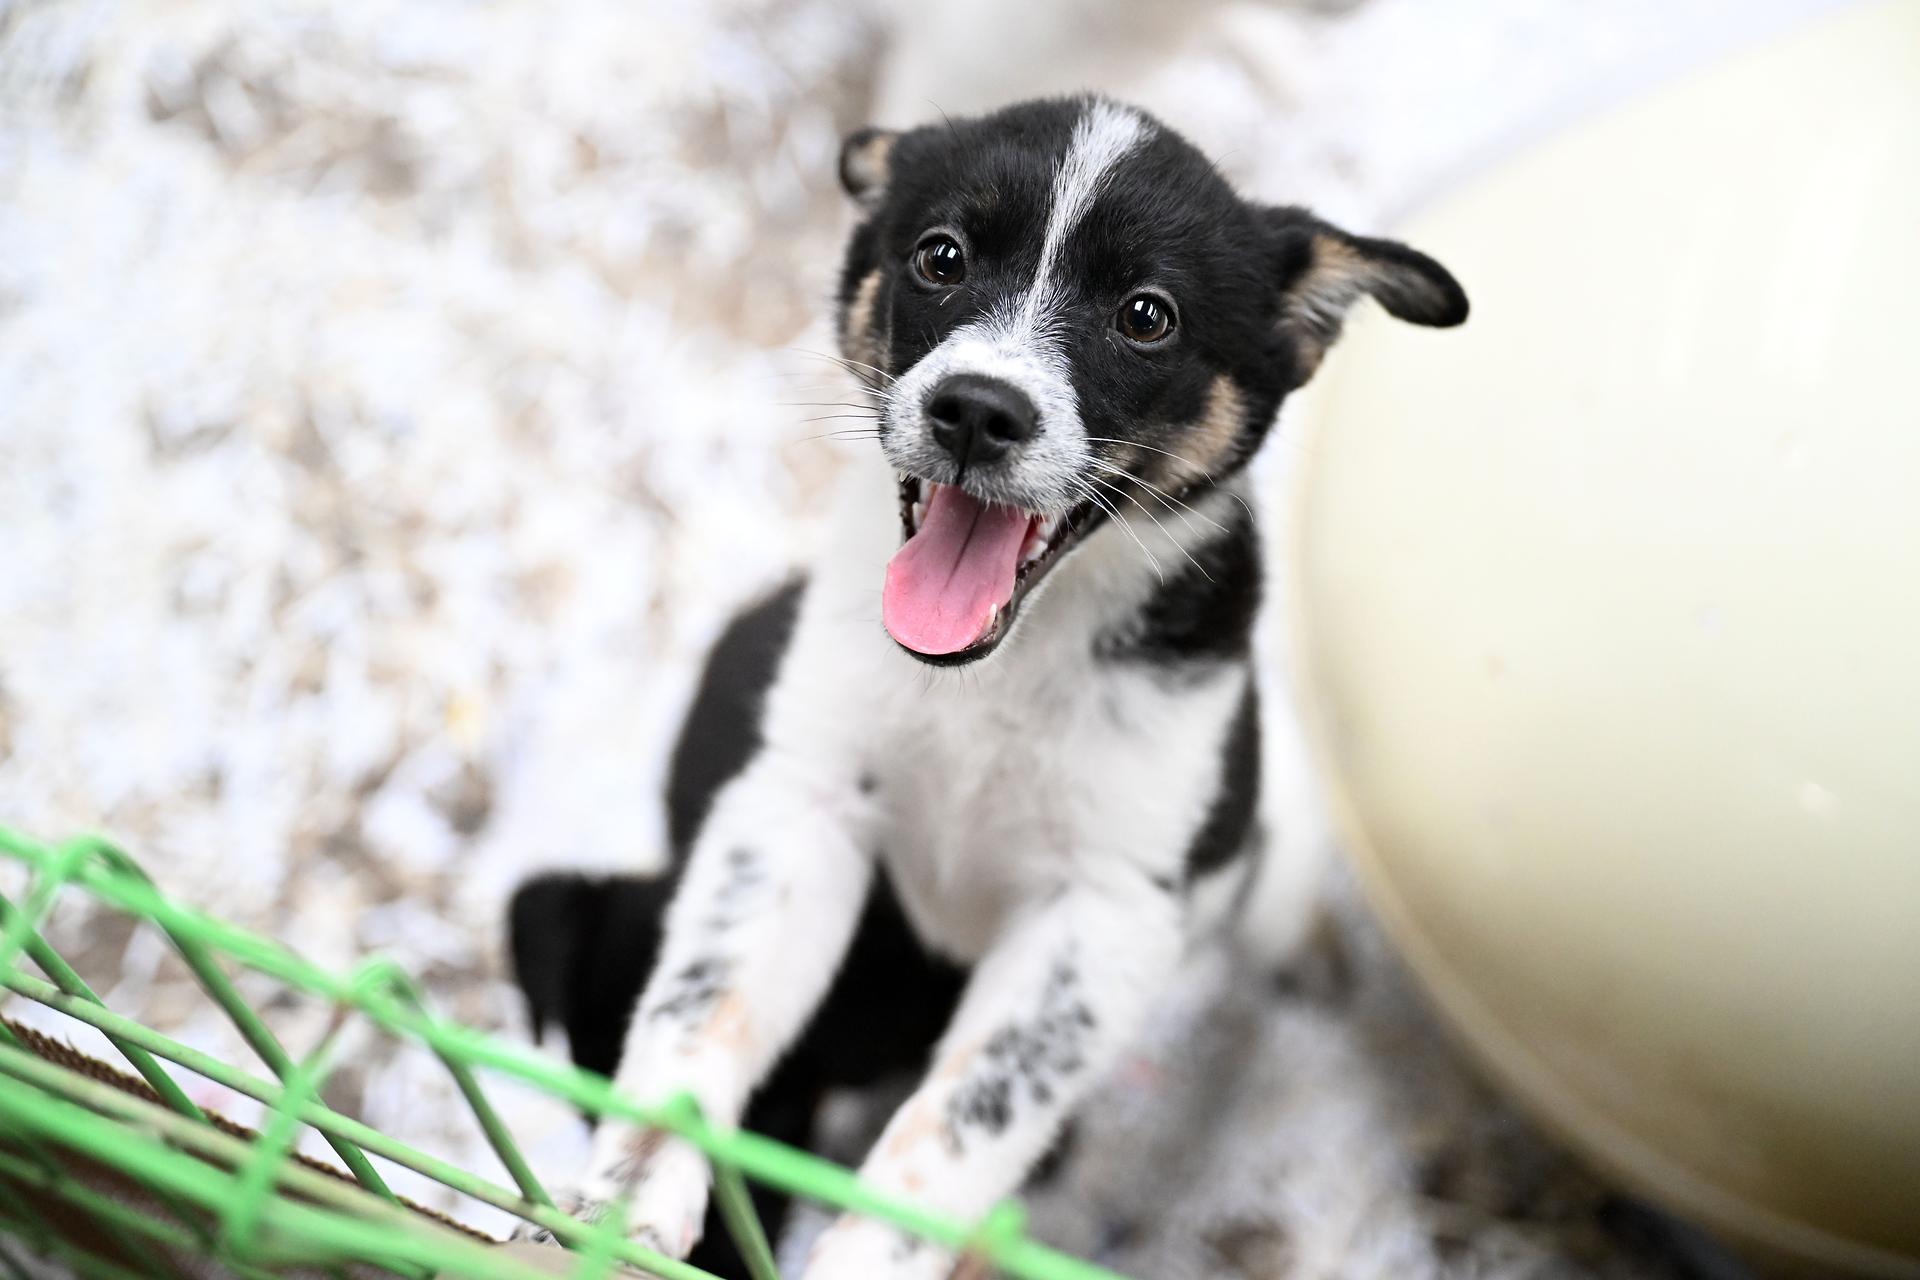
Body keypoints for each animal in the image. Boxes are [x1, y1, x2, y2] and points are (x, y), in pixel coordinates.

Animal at [510, 92, 1466, 1280]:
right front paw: (624, 1195)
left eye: (1147, 316)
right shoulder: (801, 804)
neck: (997, 675)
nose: (975, 410)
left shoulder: (1098, 916)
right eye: (940, 256)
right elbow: (702, 1007)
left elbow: (962, 1122)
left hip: (1267, 840)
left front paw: (865, 1262)